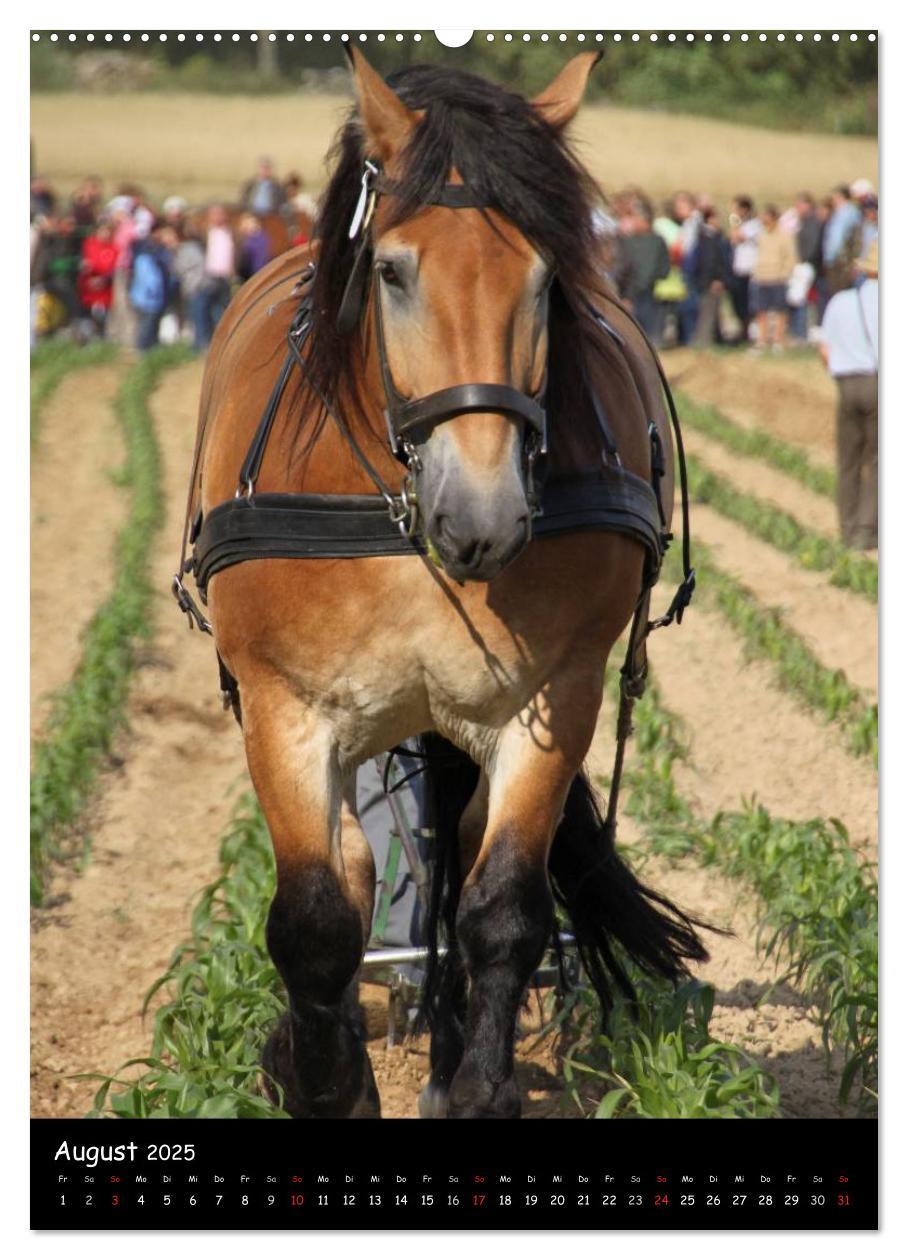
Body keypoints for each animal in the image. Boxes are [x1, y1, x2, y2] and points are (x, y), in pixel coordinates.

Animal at [187, 49, 705, 1118]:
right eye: (392, 270)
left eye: (545, 276)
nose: (484, 516)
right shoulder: (284, 710)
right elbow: (315, 918)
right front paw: (324, 1079)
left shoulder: (554, 696)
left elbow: (500, 905)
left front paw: (475, 1085)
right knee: (354, 870)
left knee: (455, 861)